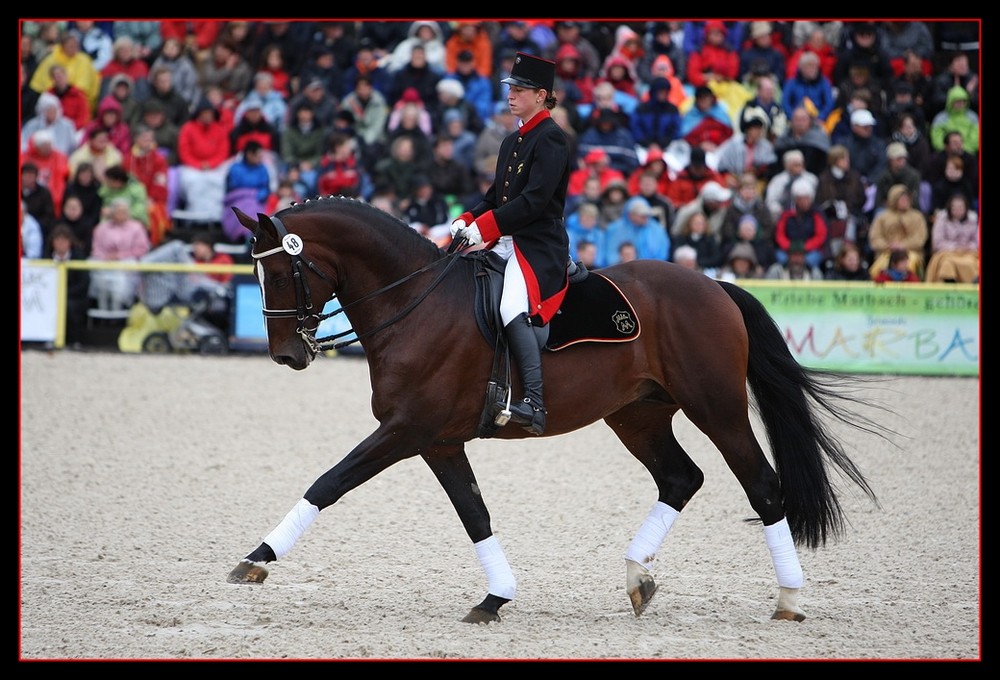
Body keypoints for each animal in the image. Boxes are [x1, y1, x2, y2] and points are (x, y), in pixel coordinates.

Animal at [223, 197, 888, 620]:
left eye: (282, 272)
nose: (286, 354)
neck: (415, 303)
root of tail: (712, 285)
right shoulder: (437, 440)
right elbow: (475, 514)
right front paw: (496, 597)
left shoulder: (405, 430)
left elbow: (328, 482)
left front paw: (256, 560)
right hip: (638, 416)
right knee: (681, 477)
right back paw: (638, 577)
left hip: (717, 409)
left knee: (763, 487)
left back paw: (789, 600)